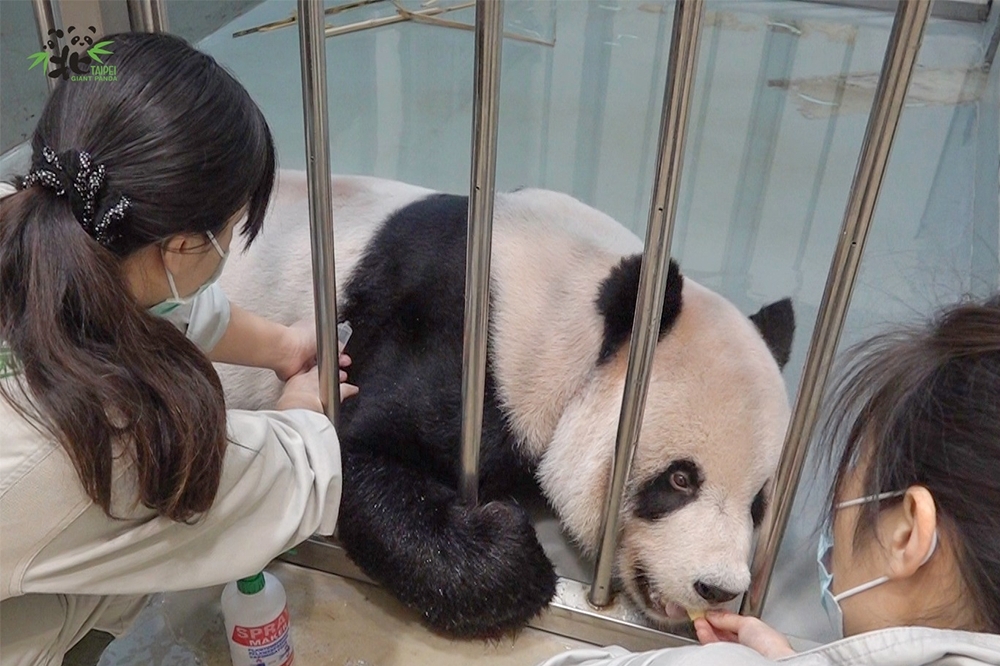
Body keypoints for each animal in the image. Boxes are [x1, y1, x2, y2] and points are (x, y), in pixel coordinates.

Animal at [219, 170, 796, 640]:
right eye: (679, 479)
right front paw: (511, 543)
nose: (719, 587)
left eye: (759, 503)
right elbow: (353, 453)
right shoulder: (460, 341)